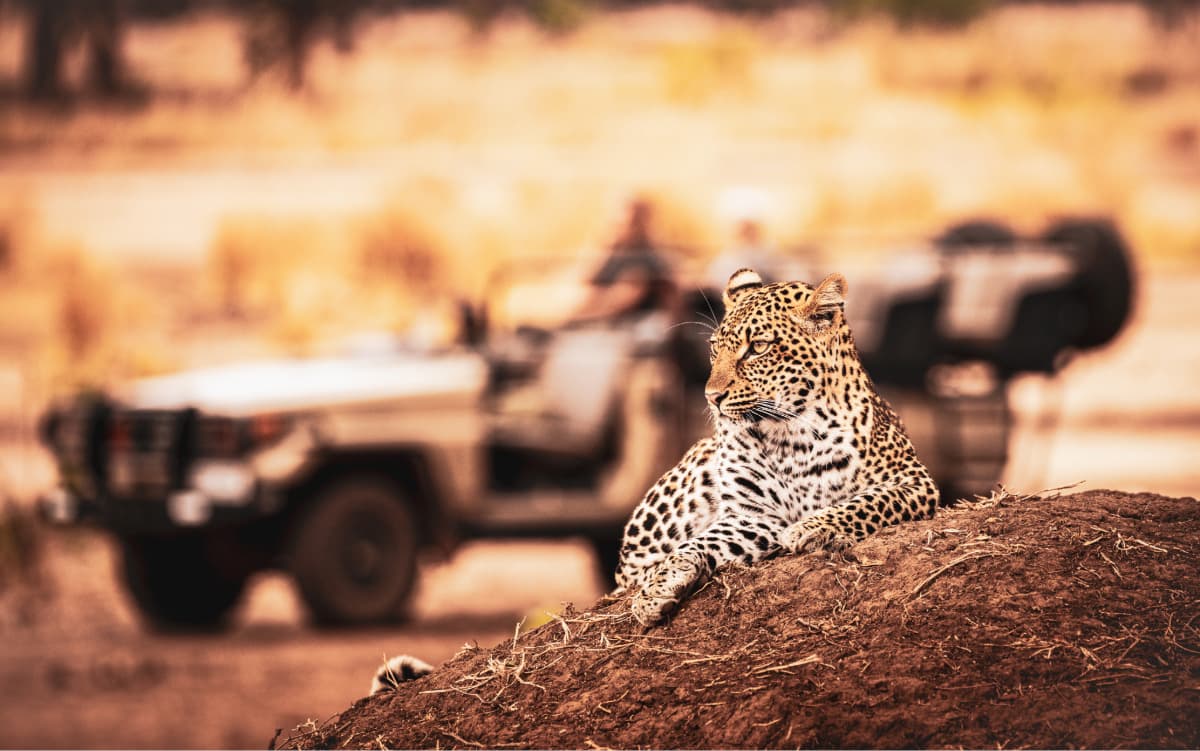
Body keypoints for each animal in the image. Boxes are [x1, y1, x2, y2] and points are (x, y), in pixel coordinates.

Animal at [615, 268, 939, 626]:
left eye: (758, 347)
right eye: (714, 348)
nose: (711, 397)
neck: (789, 437)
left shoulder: (914, 482)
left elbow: (866, 502)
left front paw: (810, 528)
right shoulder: (753, 515)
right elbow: (694, 544)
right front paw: (658, 585)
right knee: (628, 570)